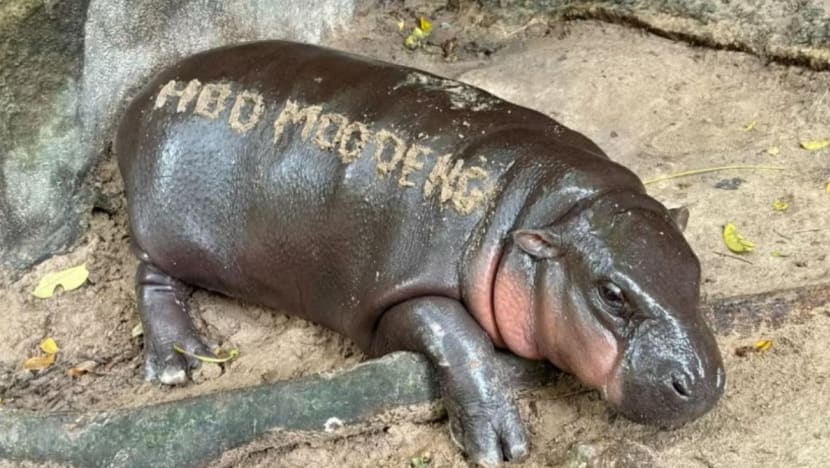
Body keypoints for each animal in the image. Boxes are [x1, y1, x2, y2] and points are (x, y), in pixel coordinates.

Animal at [115, 41, 725, 466]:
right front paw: (496, 443)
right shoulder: (396, 296)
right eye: (612, 294)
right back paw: (180, 363)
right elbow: (457, 337)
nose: (700, 383)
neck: (546, 210)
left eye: (695, 269)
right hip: (167, 234)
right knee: (150, 276)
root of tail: (142, 98)